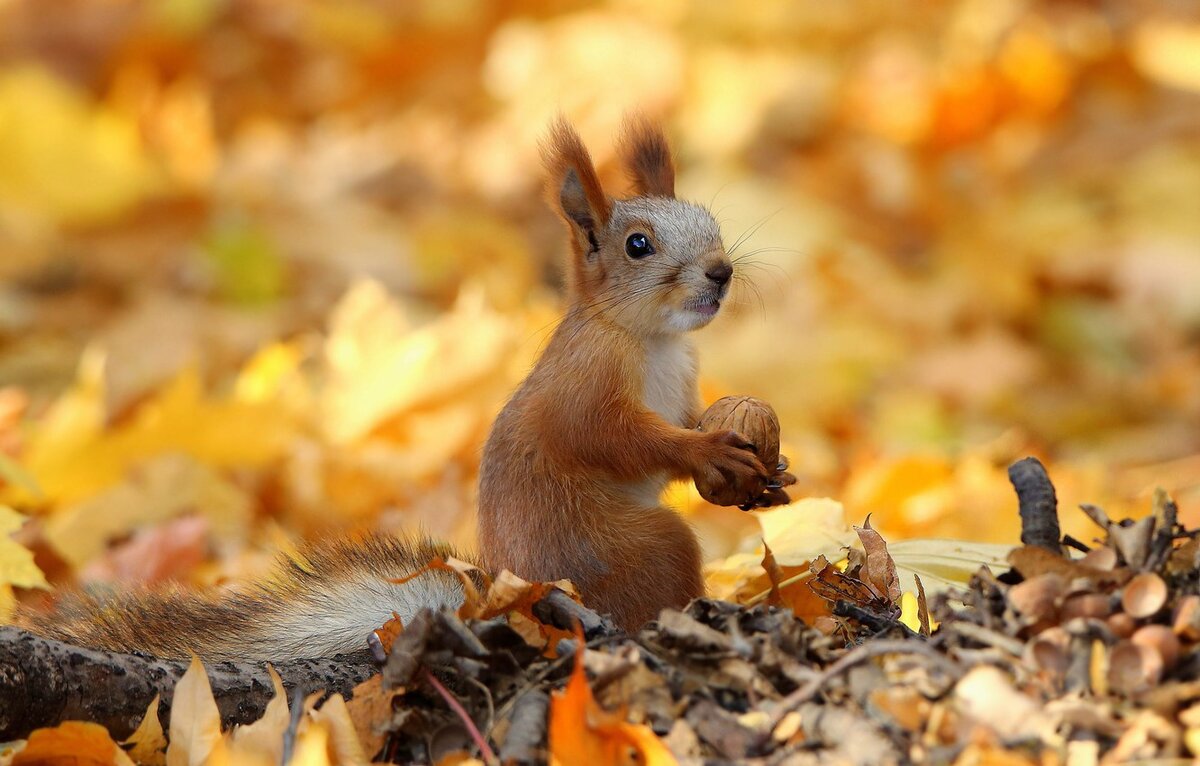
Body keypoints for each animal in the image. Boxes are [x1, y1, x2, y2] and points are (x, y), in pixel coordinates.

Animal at [28, 117, 782, 662]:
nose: (720, 272)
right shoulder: (587, 383)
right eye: (637, 245)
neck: (651, 341)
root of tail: (507, 600)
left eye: (709, 220)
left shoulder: (681, 384)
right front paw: (708, 453)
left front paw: (757, 470)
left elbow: (687, 421)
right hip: (628, 550)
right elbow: (615, 437)